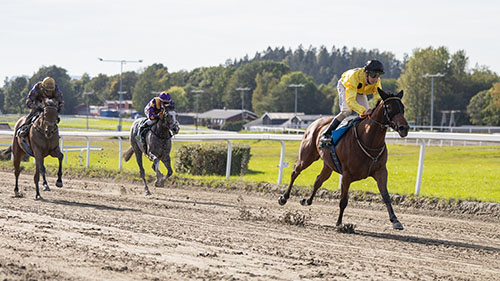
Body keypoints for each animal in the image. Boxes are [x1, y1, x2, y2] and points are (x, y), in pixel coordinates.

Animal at [278, 88, 410, 230]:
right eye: (389, 107)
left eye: (402, 107)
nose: (404, 128)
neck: (369, 141)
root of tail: (316, 122)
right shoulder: (347, 175)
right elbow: (343, 200)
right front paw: (339, 223)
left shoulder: (381, 171)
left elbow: (386, 196)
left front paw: (395, 220)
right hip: (307, 157)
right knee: (295, 172)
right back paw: (284, 198)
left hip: (328, 165)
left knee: (318, 180)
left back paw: (307, 200)